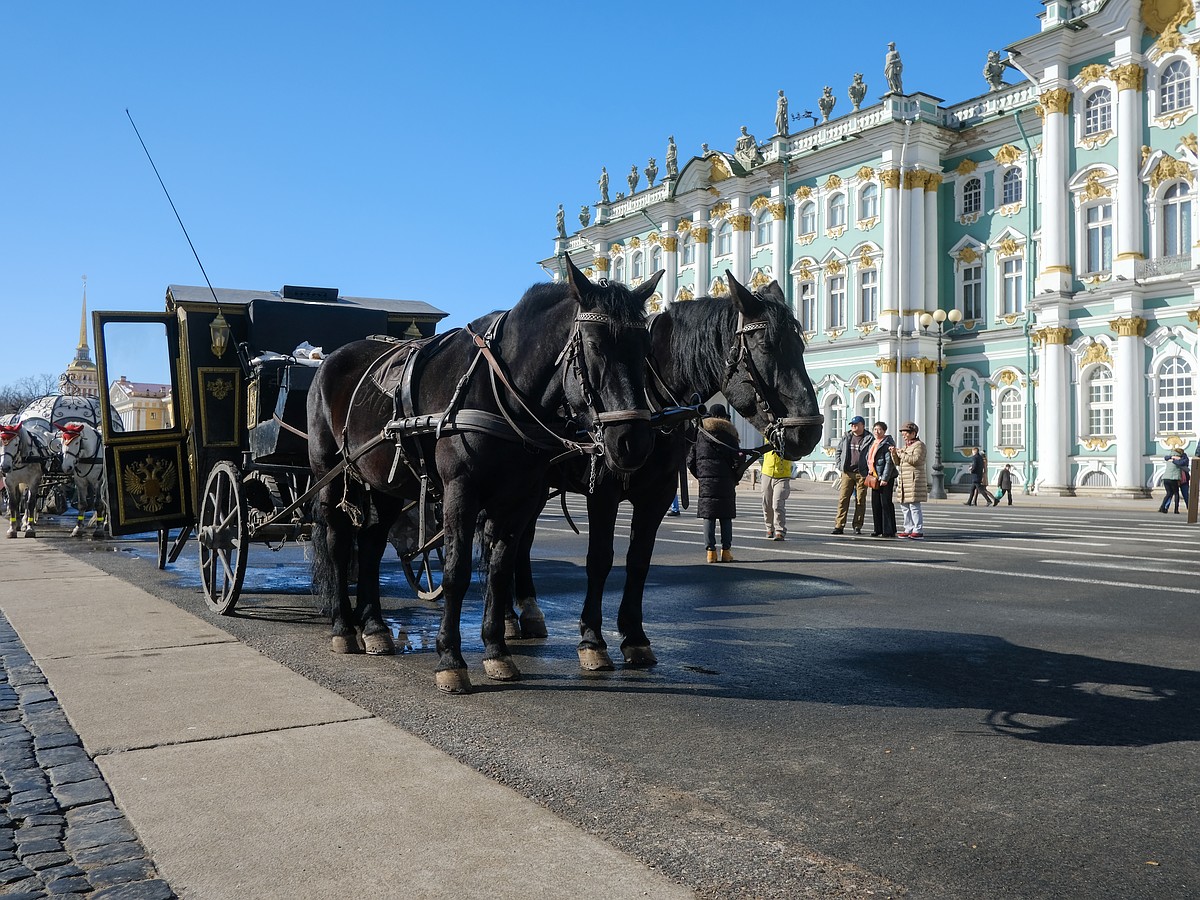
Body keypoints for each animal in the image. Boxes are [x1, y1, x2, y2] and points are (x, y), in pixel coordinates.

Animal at [304, 260, 662, 696]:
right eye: (594, 347)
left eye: (645, 349)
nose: (634, 441)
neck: (499, 392)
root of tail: (330, 358)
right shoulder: (461, 491)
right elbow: (456, 572)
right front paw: (451, 659)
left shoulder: (519, 498)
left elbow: (499, 568)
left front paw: (496, 651)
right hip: (330, 476)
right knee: (339, 543)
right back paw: (343, 626)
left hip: (383, 484)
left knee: (371, 546)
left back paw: (373, 626)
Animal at [501, 271, 820, 672]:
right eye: (766, 346)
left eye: (801, 345)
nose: (809, 431)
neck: (652, 405)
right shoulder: (603, 492)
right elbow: (599, 560)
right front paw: (592, 640)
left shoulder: (658, 494)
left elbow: (639, 561)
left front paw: (635, 638)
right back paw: (509, 618)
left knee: (520, 541)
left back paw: (526, 612)